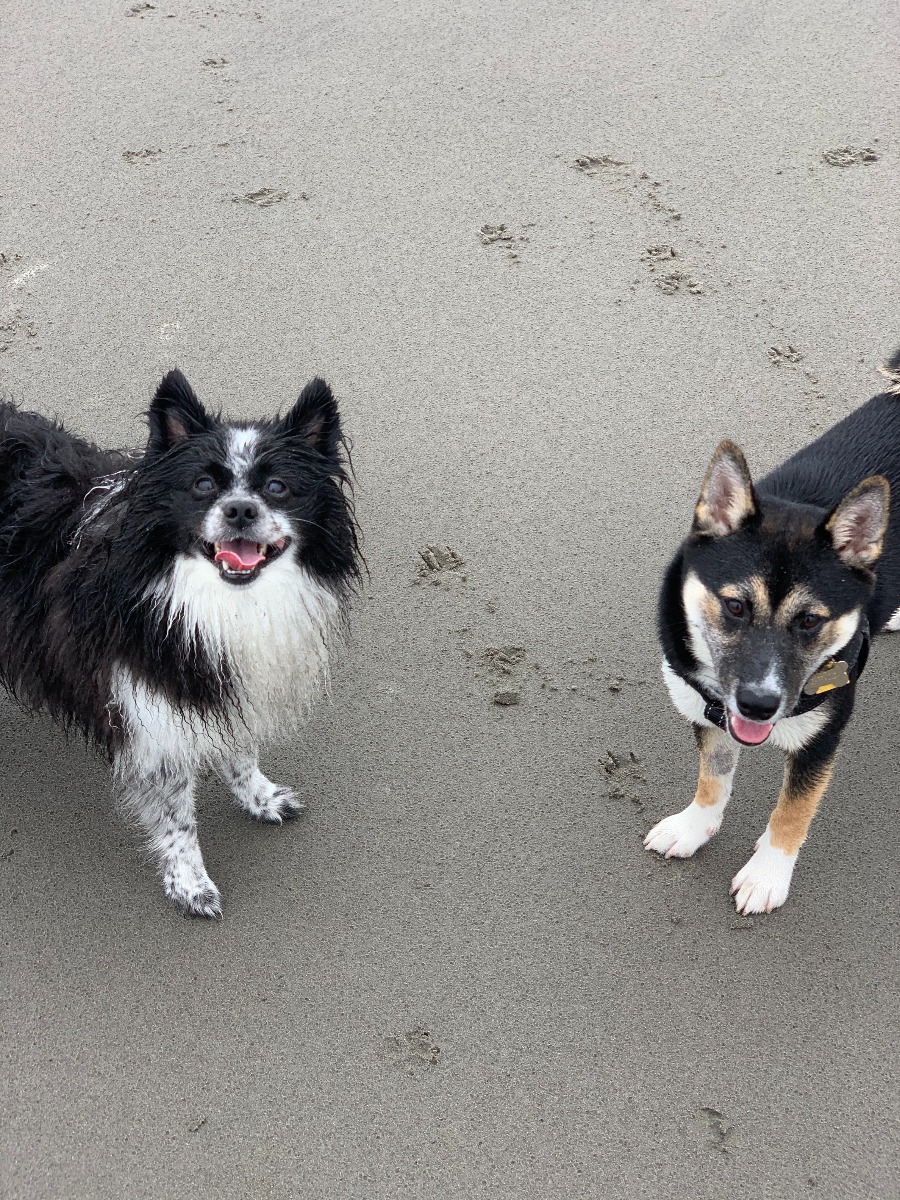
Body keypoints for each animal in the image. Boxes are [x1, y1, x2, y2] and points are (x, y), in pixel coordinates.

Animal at [0, 372, 362, 916]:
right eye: (203, 485)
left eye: (277, 487)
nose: (240, 509)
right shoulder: (154, 715)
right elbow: (178, 817)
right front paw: (190, 883)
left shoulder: (223, 681)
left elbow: (241, 749)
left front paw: (259, 797)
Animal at [648, 360, 900, 912]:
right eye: (735, 606)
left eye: (809, 621)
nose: (759, 706)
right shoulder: (711, 712)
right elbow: (714, 776)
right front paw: (694, 827)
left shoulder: (821, 739)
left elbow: (793, 810)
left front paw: (768, 873)